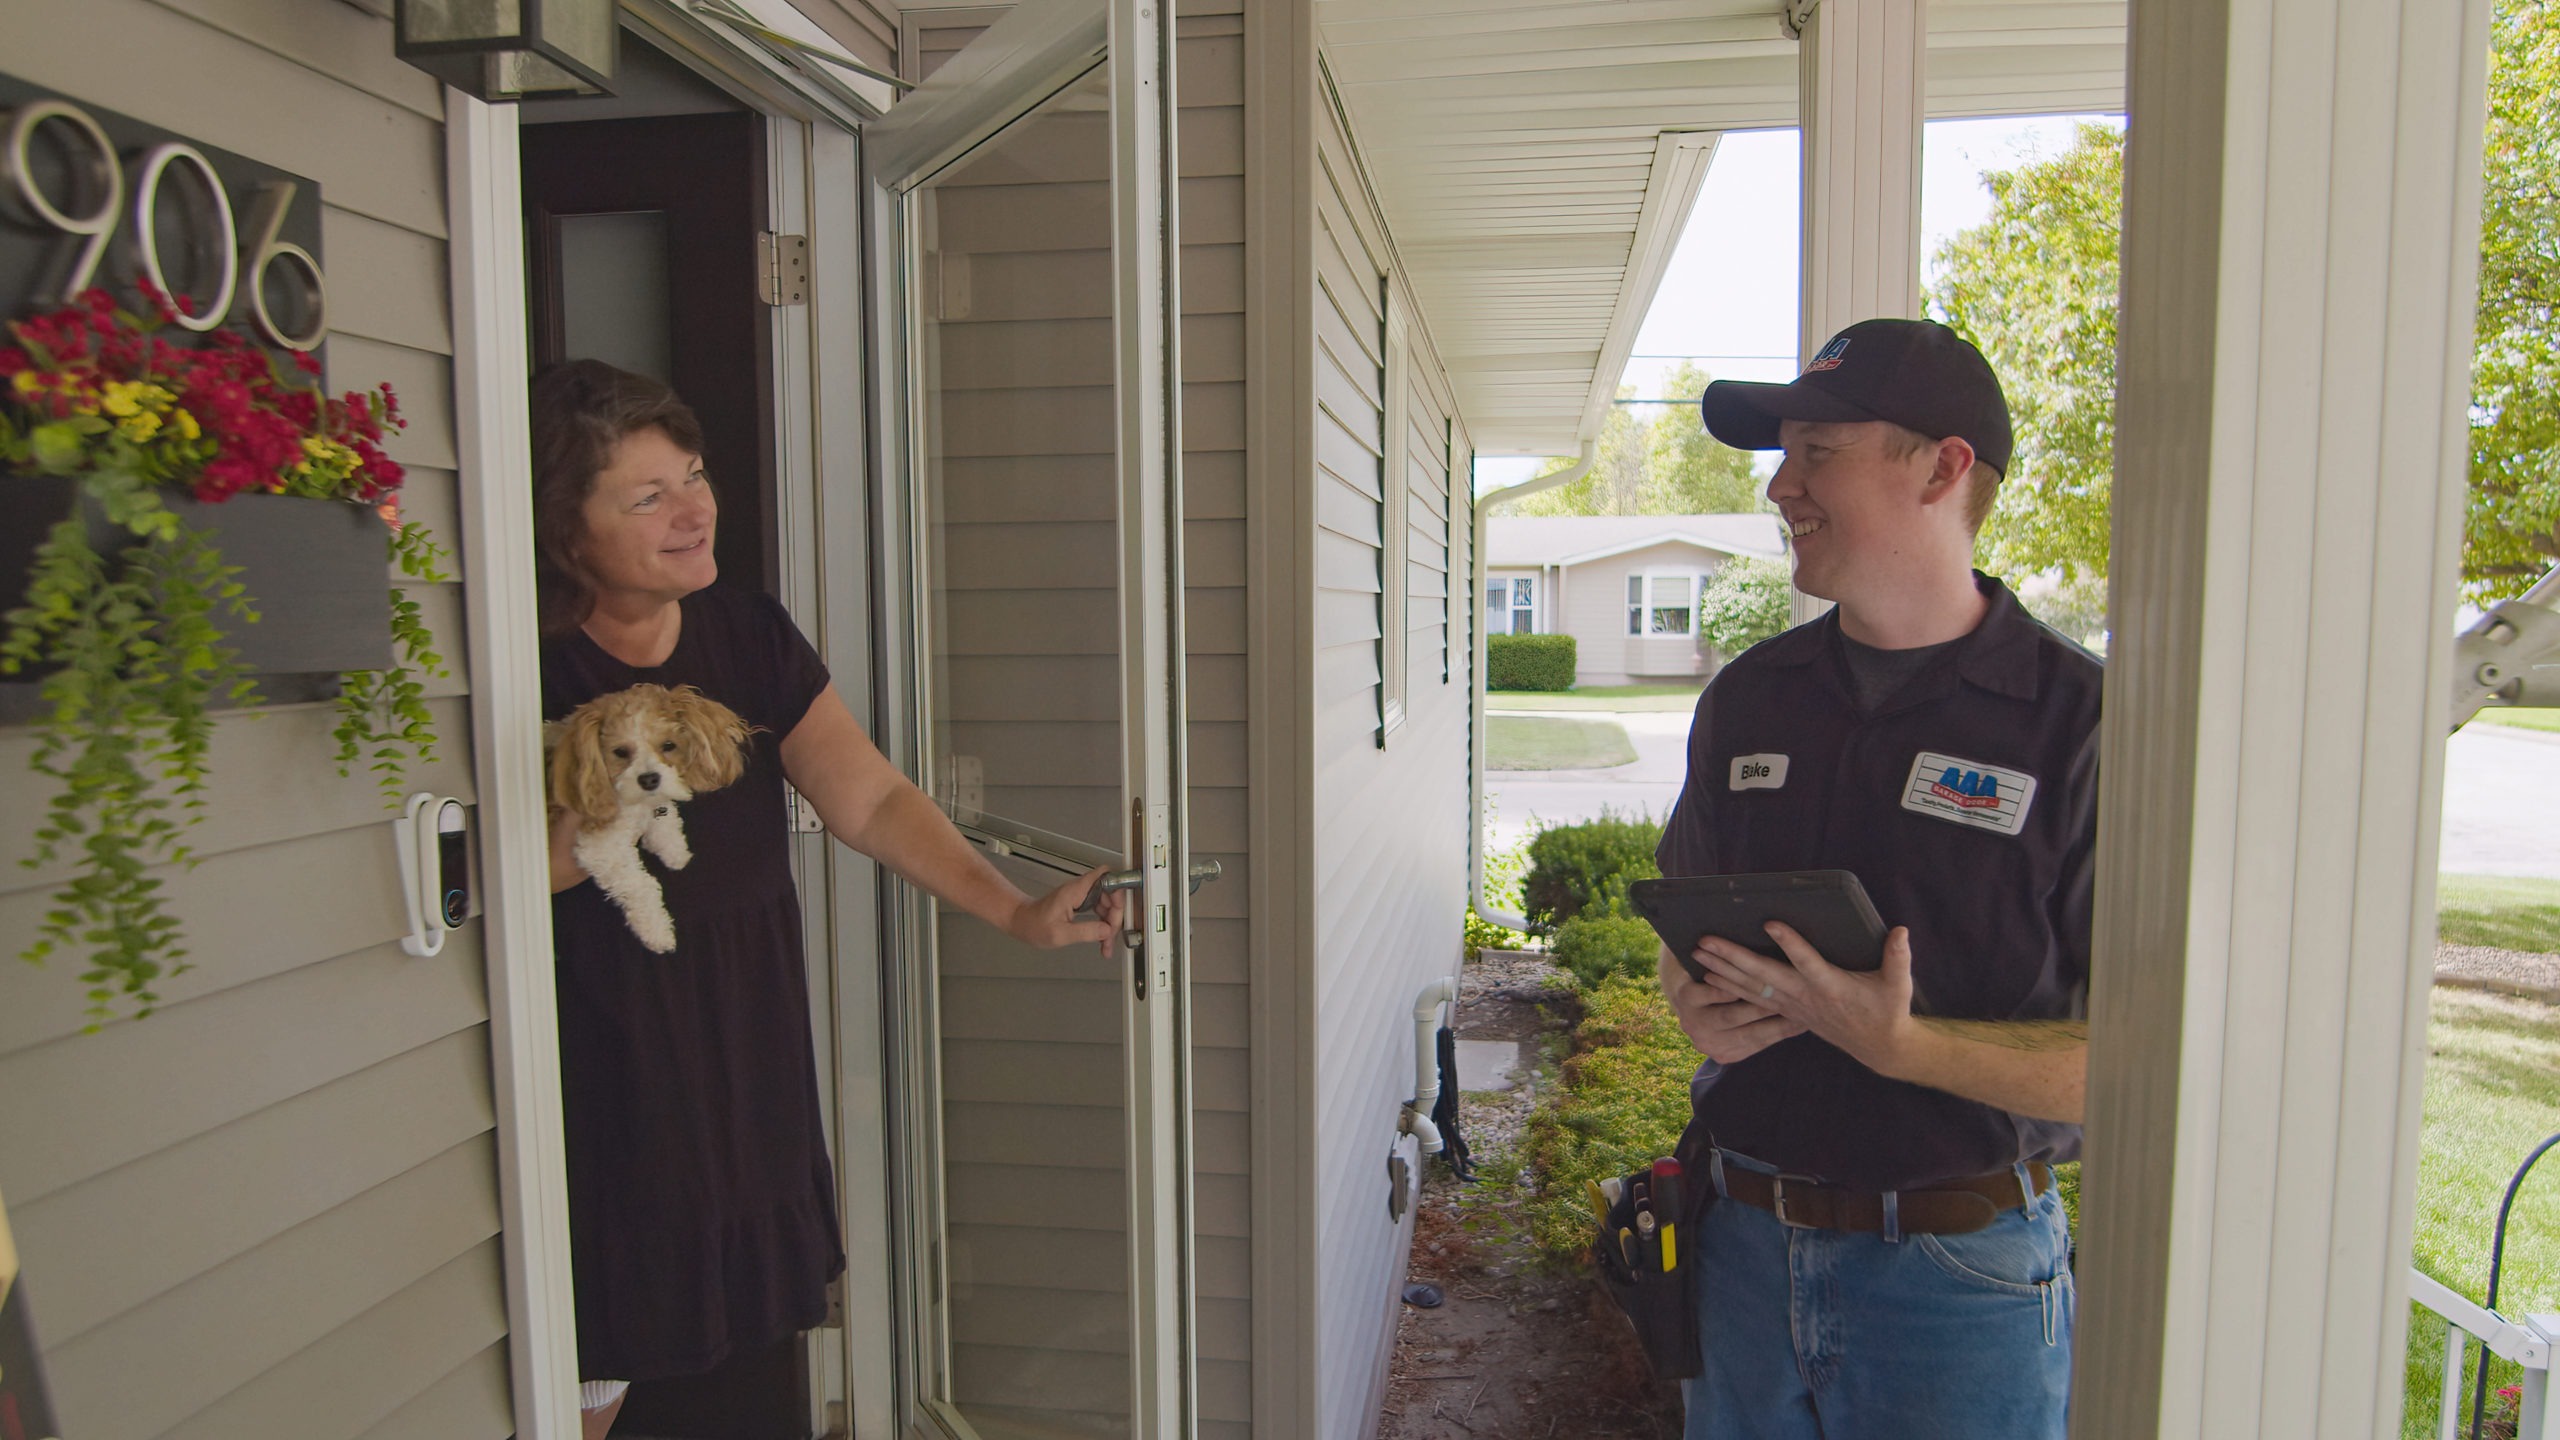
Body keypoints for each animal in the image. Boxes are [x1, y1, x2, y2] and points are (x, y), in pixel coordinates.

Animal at [550, 681, 747, 953]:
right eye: (620, 752)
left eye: (668, 745)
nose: (649, 779)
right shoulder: (600, 846)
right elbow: (642, 886)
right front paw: (658, 932)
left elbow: (664, 817)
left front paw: (674, 849)